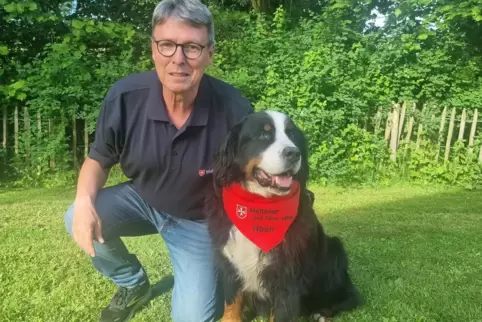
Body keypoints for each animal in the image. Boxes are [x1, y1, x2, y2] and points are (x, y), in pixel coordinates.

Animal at [203, 109, 362, 320]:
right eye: (264, 134)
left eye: (292, 135)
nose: (294, 153)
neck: (260, 203)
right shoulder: (230, 260)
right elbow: (232, 303)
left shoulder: (287, 273)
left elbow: (282, 312)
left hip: (335, 251)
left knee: (348, 297)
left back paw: (321, 312)